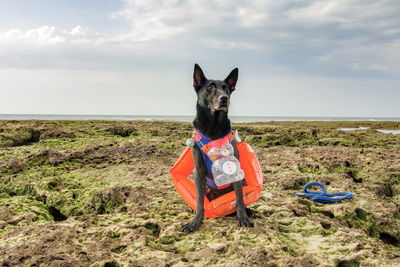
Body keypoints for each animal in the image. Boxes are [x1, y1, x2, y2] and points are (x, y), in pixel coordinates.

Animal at [181, 63, 253, 233]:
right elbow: (200, 201)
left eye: (226, 88)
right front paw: (195, 222)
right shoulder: (199, 171)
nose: (224, 98)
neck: (213, 127)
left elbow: (239, 199)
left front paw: (243, 218)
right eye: (210, 87)